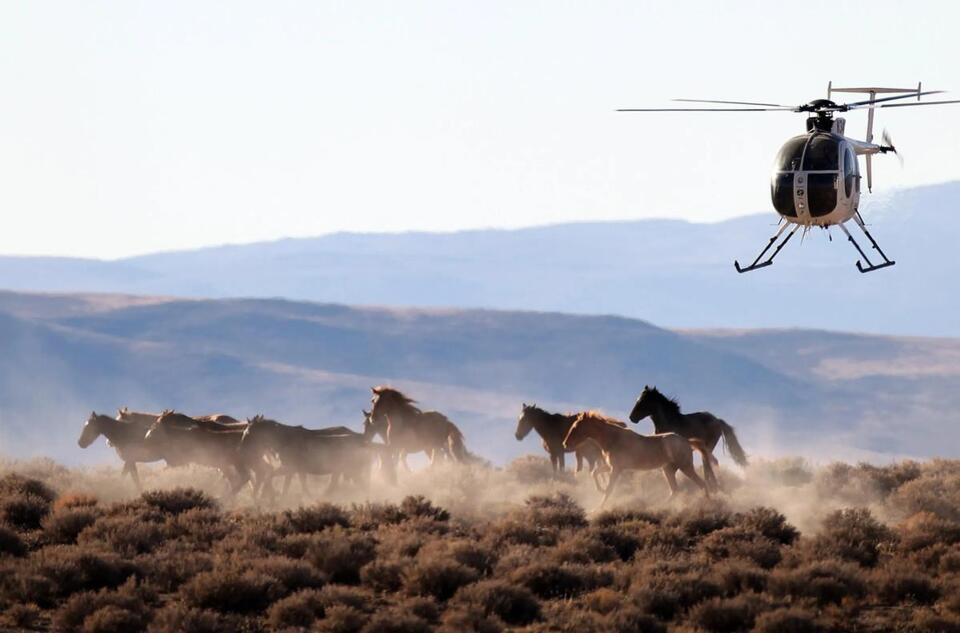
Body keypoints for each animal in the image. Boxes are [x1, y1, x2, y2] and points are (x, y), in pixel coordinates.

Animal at [239, 415, 372, 497]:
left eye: (249, 432)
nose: (241, 450)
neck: (284, 440)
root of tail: (361, 439)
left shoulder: (289, 468)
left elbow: (271, 477)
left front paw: (264, 495)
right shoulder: (296, 470)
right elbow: (296, 486)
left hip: (348, 470)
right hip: (344, 471)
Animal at [563, 411, 717, 508]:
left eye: (576, 427)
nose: (565, 444)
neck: (613, 438)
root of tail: (686, 441)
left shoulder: (616, 469)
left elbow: (609, 490)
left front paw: (598, 508)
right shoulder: (611, 466)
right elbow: (594, 473)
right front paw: (600, 490)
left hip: (685, 467)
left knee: (702, 484)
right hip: (668, 470)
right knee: (675, 490)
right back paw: (659, 508)